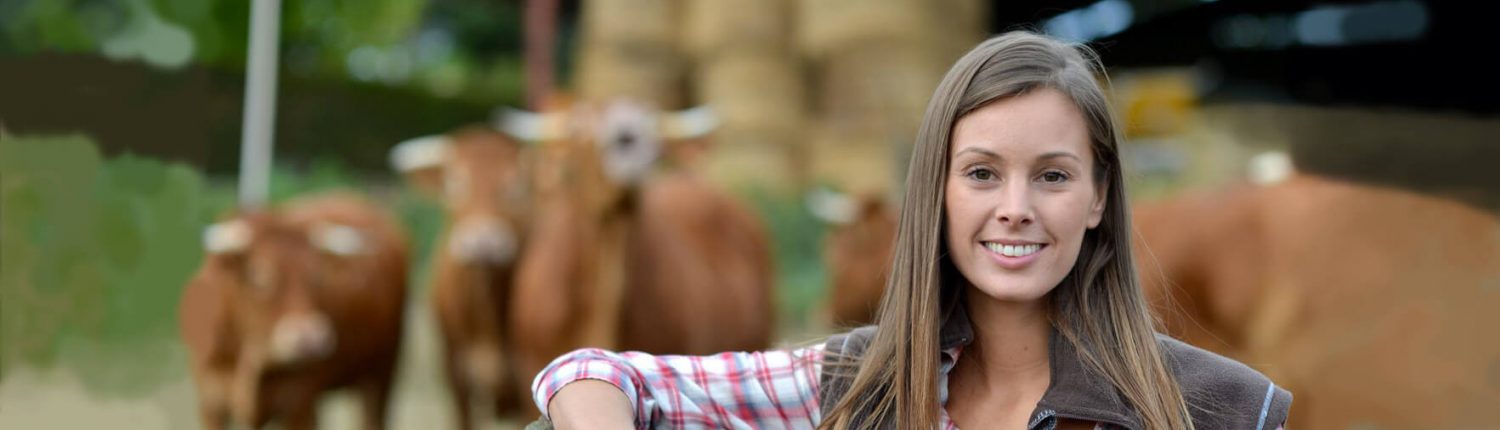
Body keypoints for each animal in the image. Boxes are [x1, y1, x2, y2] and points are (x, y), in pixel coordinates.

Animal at [177, 194, 408, 430]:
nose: (310, 340)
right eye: (259, 276)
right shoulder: (211, 405)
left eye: (317, 276)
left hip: (383, 370)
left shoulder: (300, 406)